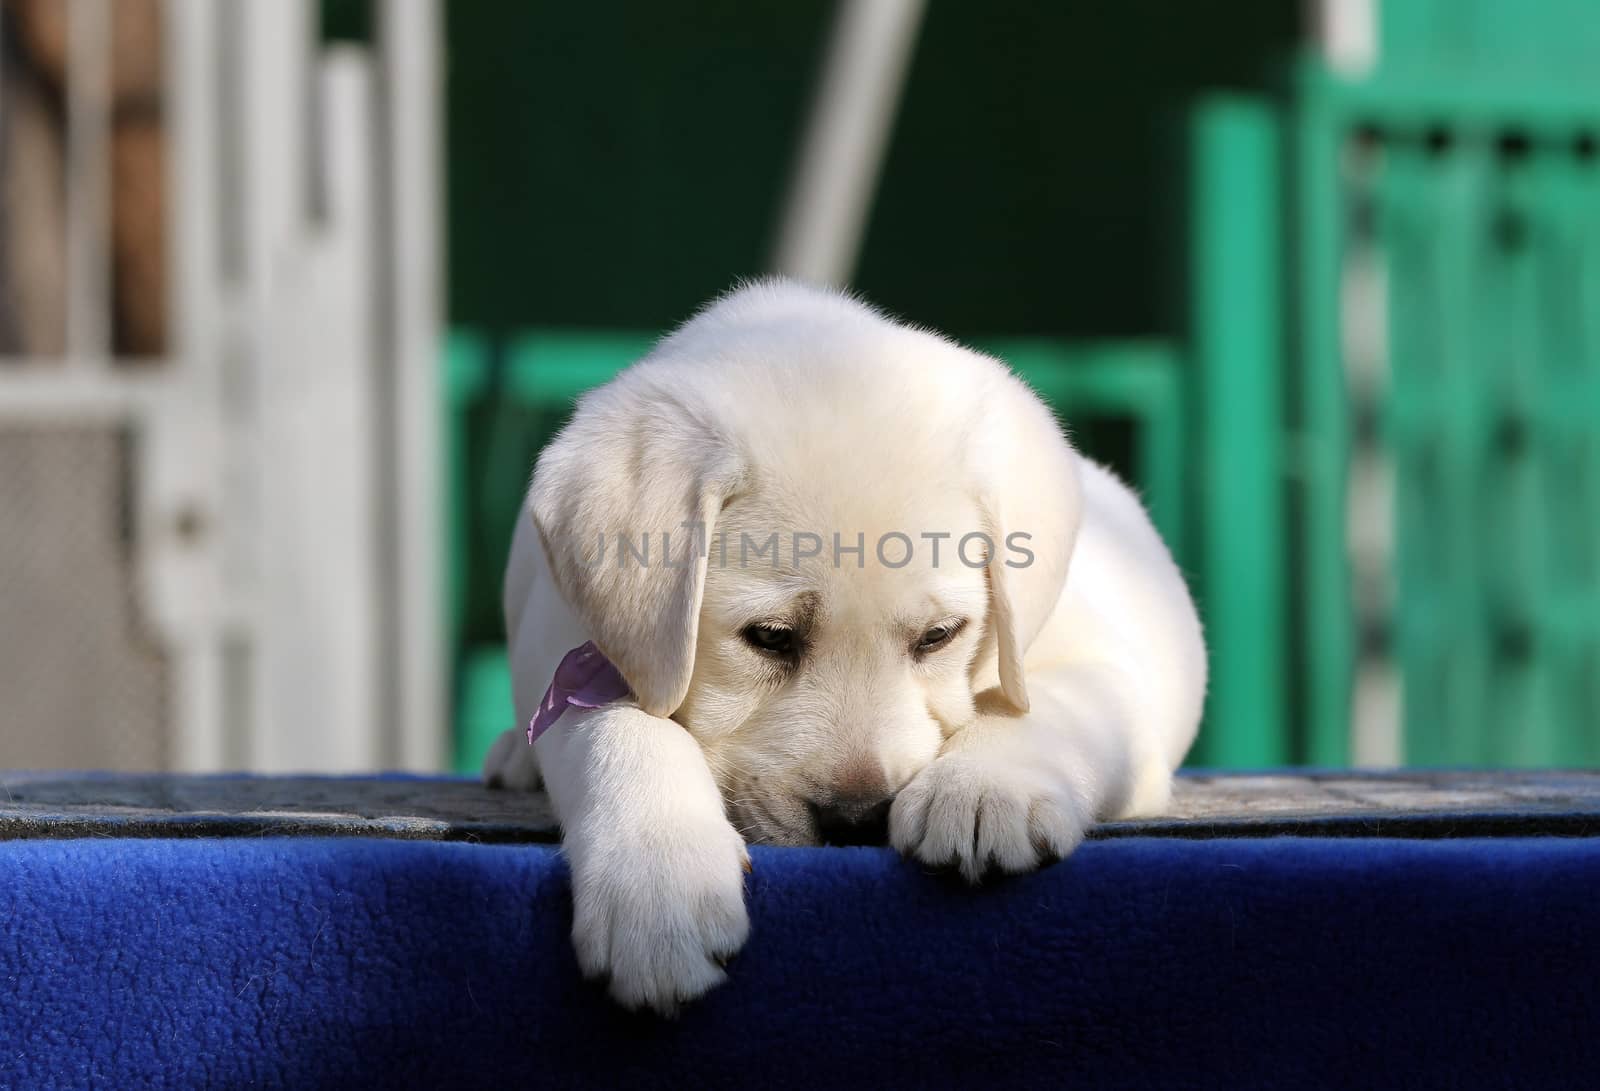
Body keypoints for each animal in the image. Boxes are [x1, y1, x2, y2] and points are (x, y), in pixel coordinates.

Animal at [480, 279, 1203, 1011]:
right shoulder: (580, 658)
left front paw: (982, 788)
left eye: (940, 636)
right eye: (770, 638)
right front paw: (657, 883)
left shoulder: (1095, 664)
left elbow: (1041, 704)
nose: (859, 819)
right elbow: (621, 729)